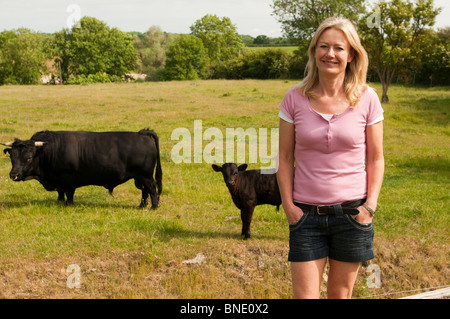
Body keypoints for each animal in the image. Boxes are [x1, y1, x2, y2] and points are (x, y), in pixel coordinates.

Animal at [0, 130, 163, 210]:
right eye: (12, 157)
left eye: (28, 158)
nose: (13, 175)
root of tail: (142, 133)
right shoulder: (59, 180)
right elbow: (60, 192)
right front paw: (59, 202)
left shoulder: (68, 179)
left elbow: (69, 193)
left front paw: (68, 205)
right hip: (140, 177)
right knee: (144, 191)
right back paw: (141, 206)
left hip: (146, 176)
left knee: (152, 189)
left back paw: (154, 207)